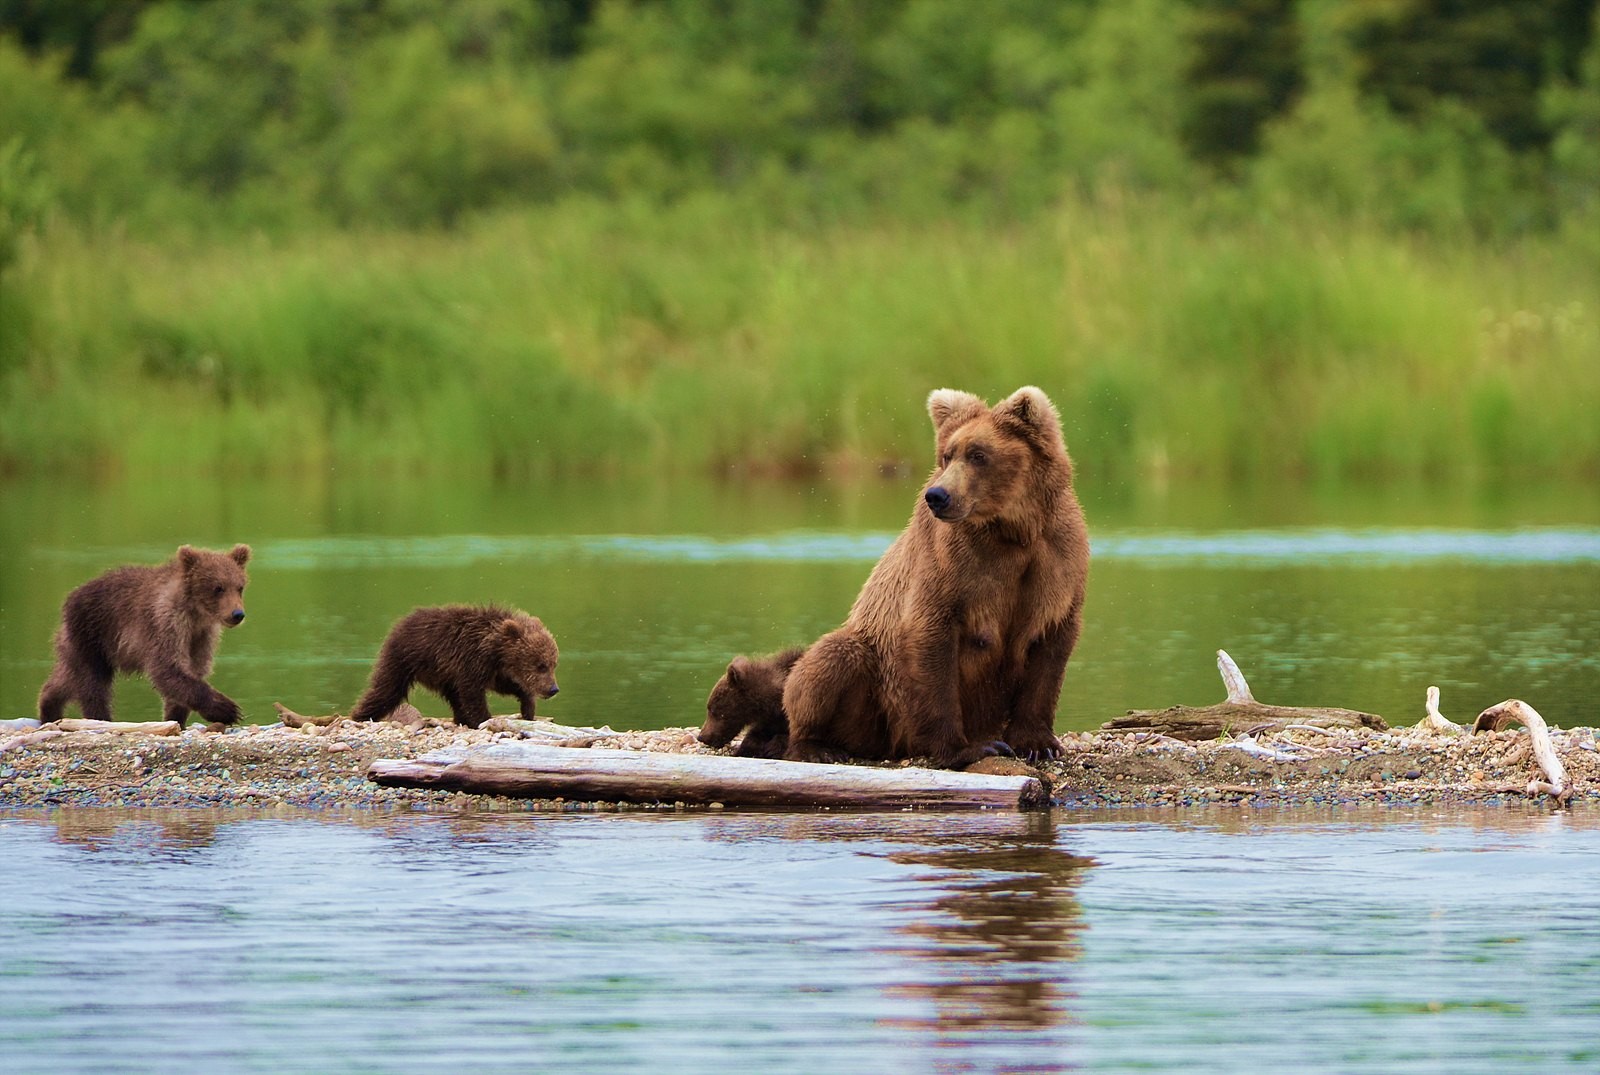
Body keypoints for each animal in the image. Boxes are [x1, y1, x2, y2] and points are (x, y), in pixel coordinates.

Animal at [39, 547, 252, 729]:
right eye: (218, 587)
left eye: (239, 587)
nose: (237, 614)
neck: (195, 614)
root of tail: (70, 597)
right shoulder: (164, 624)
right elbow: (166, 668)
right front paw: (227, 709)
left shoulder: (200, 636)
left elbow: (193, 669)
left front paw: (176, 717)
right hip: (91, 634)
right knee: (92, 682)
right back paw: (100, 718)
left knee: (67, 677)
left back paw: (49, 707)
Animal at [347, 604, 560, 729]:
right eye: (540, 665)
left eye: (553, 664)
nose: (553, 689)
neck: (495, 649)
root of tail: (400, 622)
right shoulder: (471, 660)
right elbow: (472, 693)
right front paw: (484, 719)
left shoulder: (494, 670)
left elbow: (508, 686)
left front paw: (528, 707)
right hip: (403, 659)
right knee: (386, 690)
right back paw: (359, 715)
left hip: (441, 673)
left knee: (454, 696)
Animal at [784, 390, 1088, 767]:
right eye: (948, 454)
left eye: (978, 454)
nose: (938, 496)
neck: (1011, 531)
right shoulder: (951, 562)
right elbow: (931, 635)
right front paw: (966, 748)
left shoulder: (1058, 560)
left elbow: (1050, 645)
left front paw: (1037, 743)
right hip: (876, 692)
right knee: (830, 659)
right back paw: (816, 744)